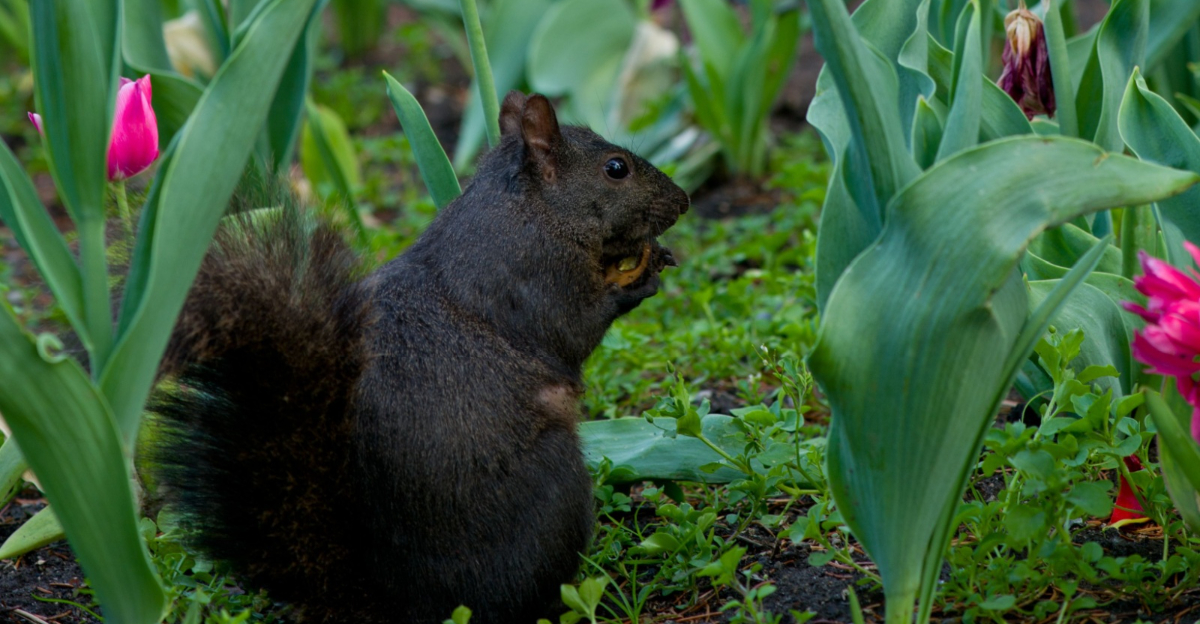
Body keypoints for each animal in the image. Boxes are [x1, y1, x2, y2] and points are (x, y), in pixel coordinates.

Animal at [150, 91, 689, 624]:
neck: (533, 211)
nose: (683, 201)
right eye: (616, 168)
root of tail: (400, 603)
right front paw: (638, 274)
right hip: (556, 490)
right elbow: (576, 326)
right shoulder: (536, 278)